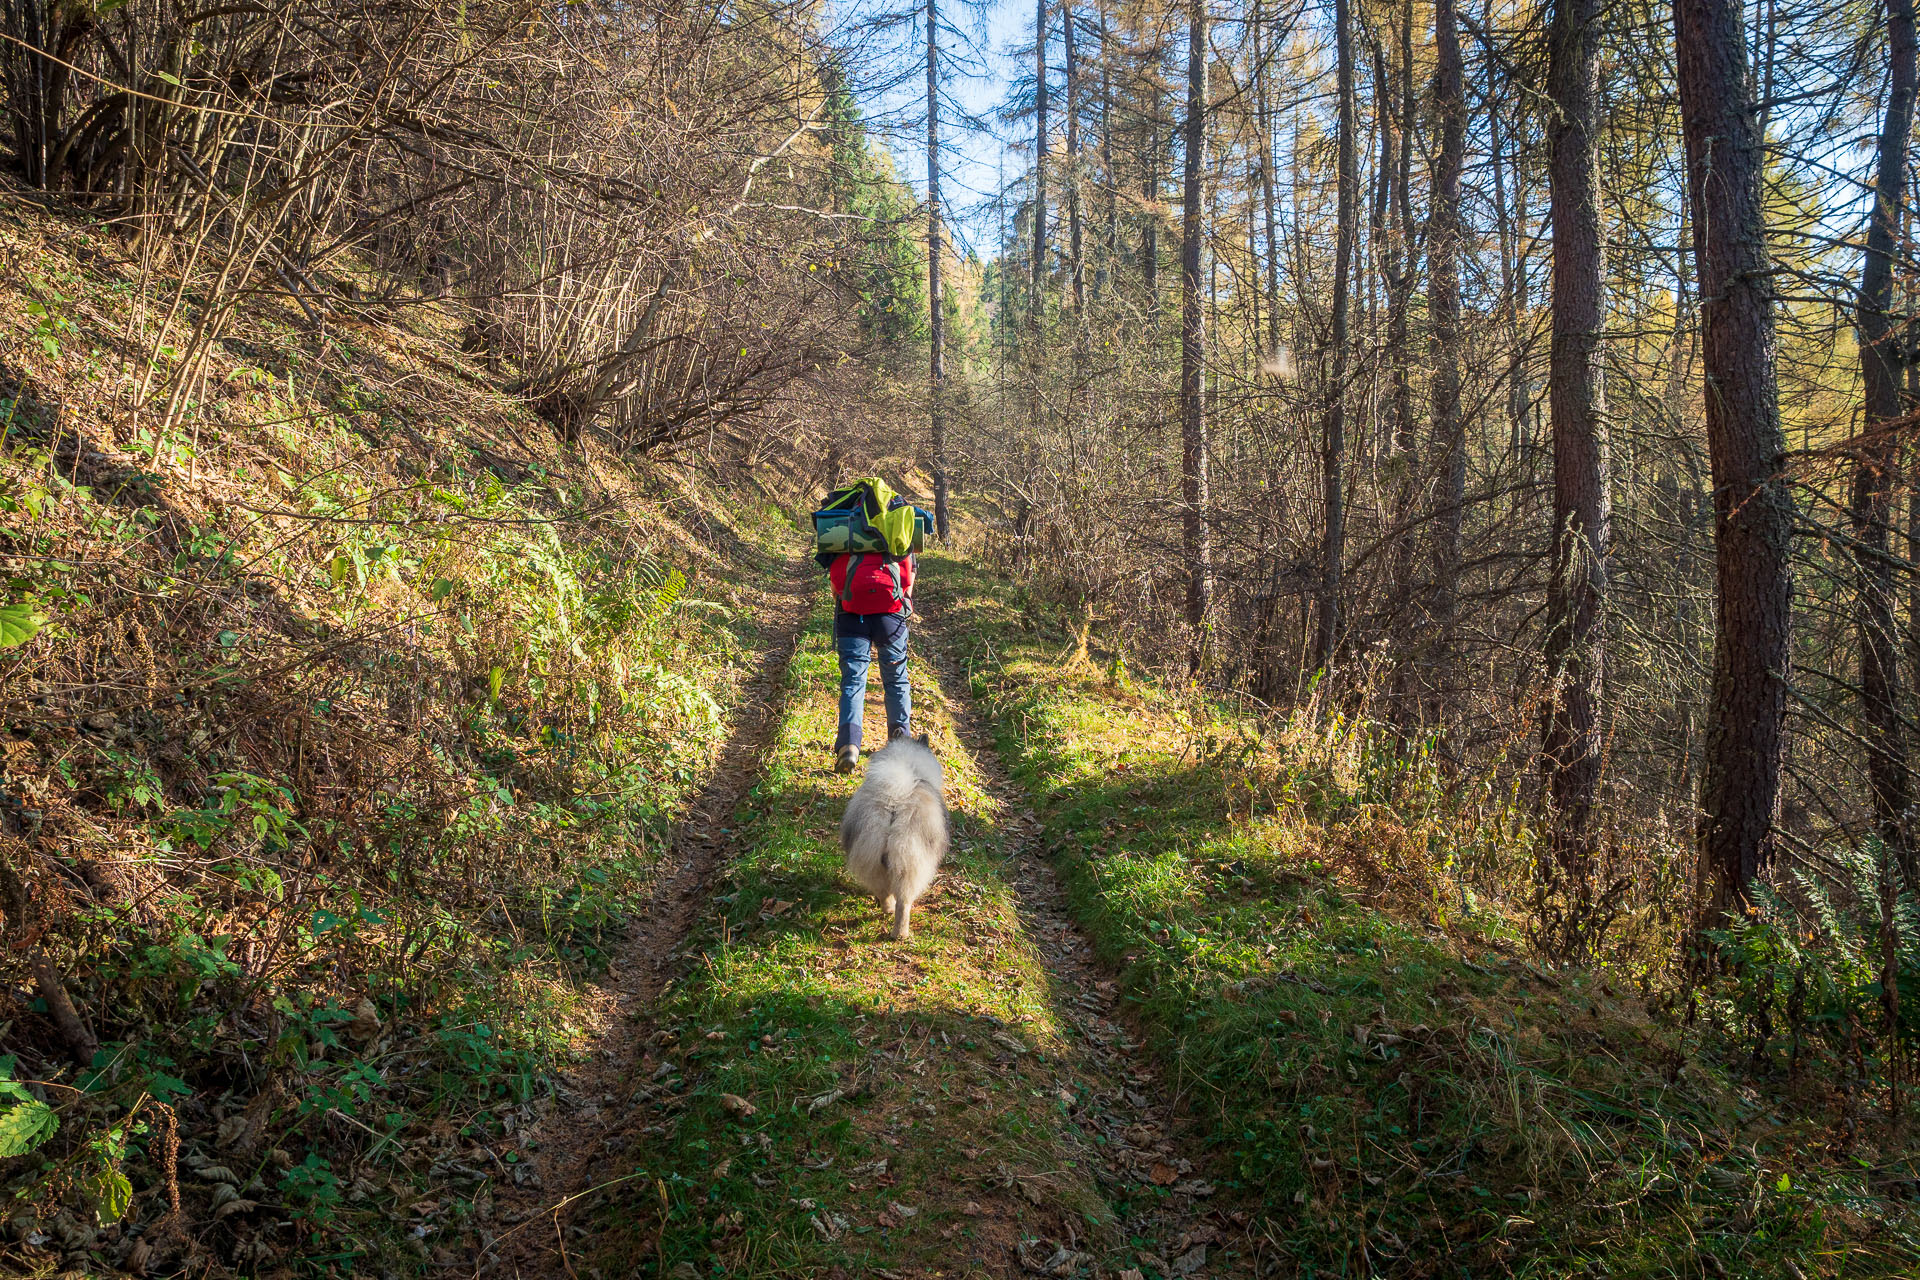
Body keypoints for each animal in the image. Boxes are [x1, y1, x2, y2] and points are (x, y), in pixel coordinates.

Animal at [848, 736, 952, 936]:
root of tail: (894, 804)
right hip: (909, 865)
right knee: (904, 903)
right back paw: (900, 934)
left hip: (871, 857)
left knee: (883, 892)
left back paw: (887, 909)